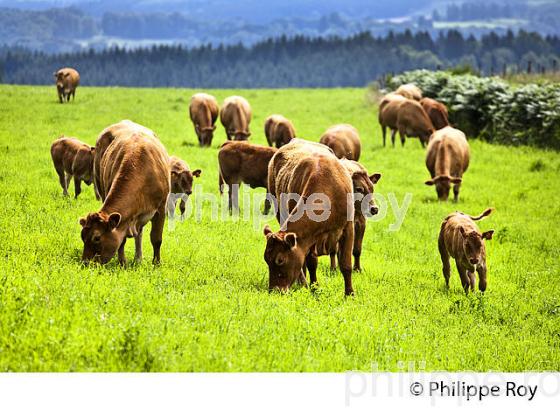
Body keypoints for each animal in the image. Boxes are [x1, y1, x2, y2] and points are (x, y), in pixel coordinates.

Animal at [80, 131, 170, 266]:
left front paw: (156, 264)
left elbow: (156, 239)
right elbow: (121, 241)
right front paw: (122, 263)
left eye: (97, 238)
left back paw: (138, 258)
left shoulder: (161, 208)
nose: (85, 263)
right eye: (82, 236)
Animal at [264, 139, 354, 296]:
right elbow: (311, 262)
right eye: (266, 260)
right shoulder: (310, 236)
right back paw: (303, 283)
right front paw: (314, 288)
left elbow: (346, 264)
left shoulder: (348, 228)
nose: (275, 291)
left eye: (280, 260)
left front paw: (349, 294)